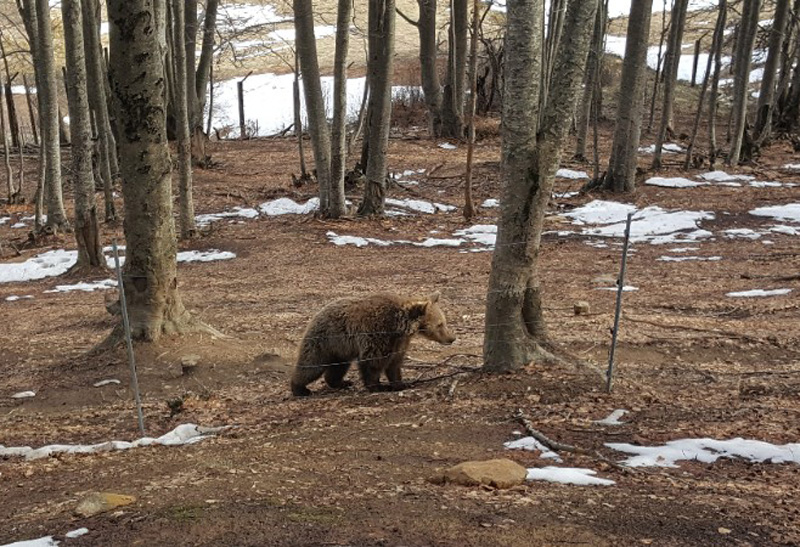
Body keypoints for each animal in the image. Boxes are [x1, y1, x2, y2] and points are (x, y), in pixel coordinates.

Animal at [292, 294, 456, 396]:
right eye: (440, 324)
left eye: (444, 322)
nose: (452, 338)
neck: (400, 327)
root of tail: (315, 315)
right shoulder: (377, 333)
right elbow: (373, 363)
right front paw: (378, 386)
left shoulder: (398, 343)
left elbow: (394, 364)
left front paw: (400, 384)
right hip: (325, 340)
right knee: (312, 364)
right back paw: (300, 389)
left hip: (340, 349)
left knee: (338, 367)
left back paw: (342, 382)